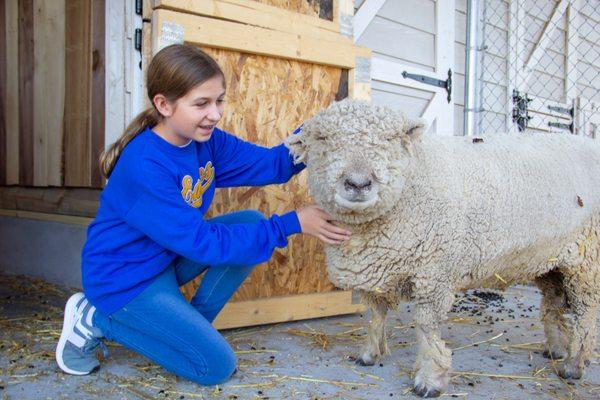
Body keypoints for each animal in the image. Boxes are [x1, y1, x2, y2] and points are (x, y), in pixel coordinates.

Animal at [284, 99, 600, 396]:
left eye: (391, 139)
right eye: (322, 138)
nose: (359, 183)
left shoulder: (435, 273)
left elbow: (427, 327)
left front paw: (429, 379)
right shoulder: (376, 267)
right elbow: (375, 315)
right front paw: (369, 354)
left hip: (588, 259)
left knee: (586, 312)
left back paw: (573, 364)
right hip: (551, 259)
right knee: (553, 303)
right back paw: (555, 348)